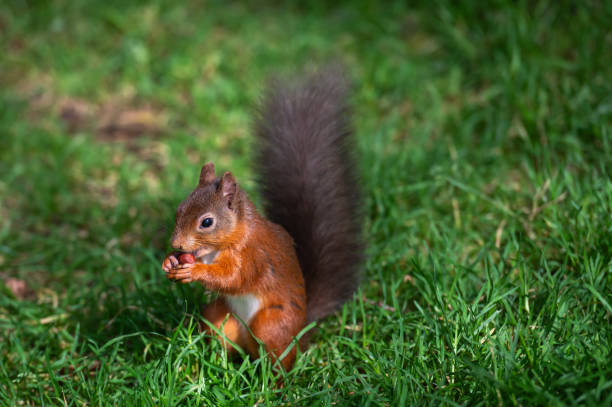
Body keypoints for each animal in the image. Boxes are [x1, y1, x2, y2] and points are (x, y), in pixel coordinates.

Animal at [161, 68, 364, 372]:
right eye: (179, 209)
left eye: (206, 222)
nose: (176, 243)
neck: (226, 242)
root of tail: (302, 330)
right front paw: (170, 262)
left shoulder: (254, 255)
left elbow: (233, 277)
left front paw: (194, 271)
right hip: (218, 317)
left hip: (271, 325)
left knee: (276, 359)